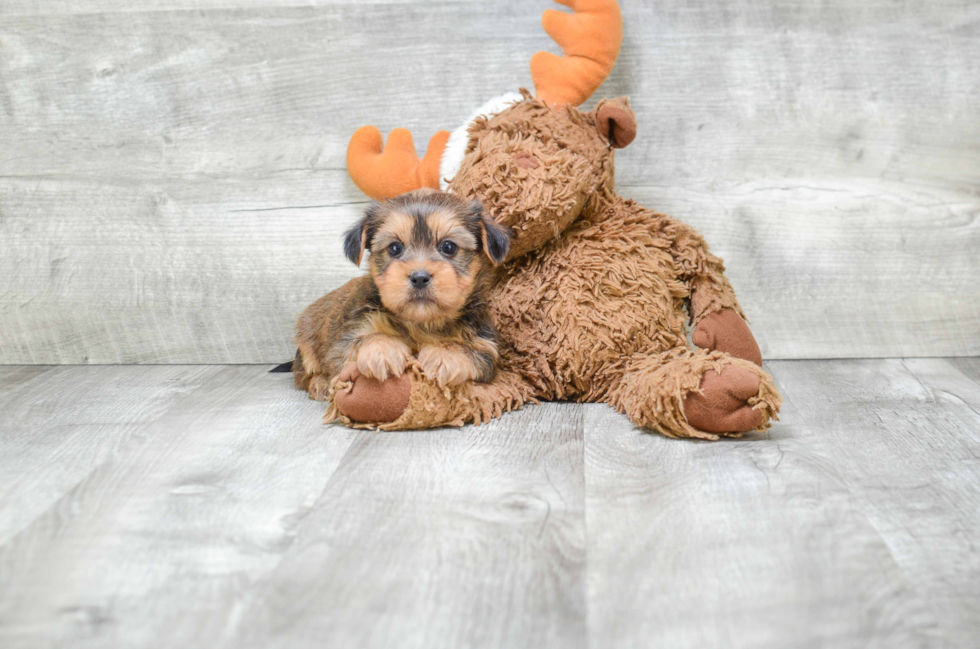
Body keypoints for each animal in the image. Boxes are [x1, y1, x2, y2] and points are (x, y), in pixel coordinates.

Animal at [292, 189, 512, 400]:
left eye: (448, 247)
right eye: (395, 248)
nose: (419, 277)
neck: (421, 322)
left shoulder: (485, 347)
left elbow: (472, 354)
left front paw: (444, 355)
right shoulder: (346, 336)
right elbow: (359, 343)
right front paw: (382, 350)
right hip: (306, 343)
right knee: (303, 374)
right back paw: (320, 383)